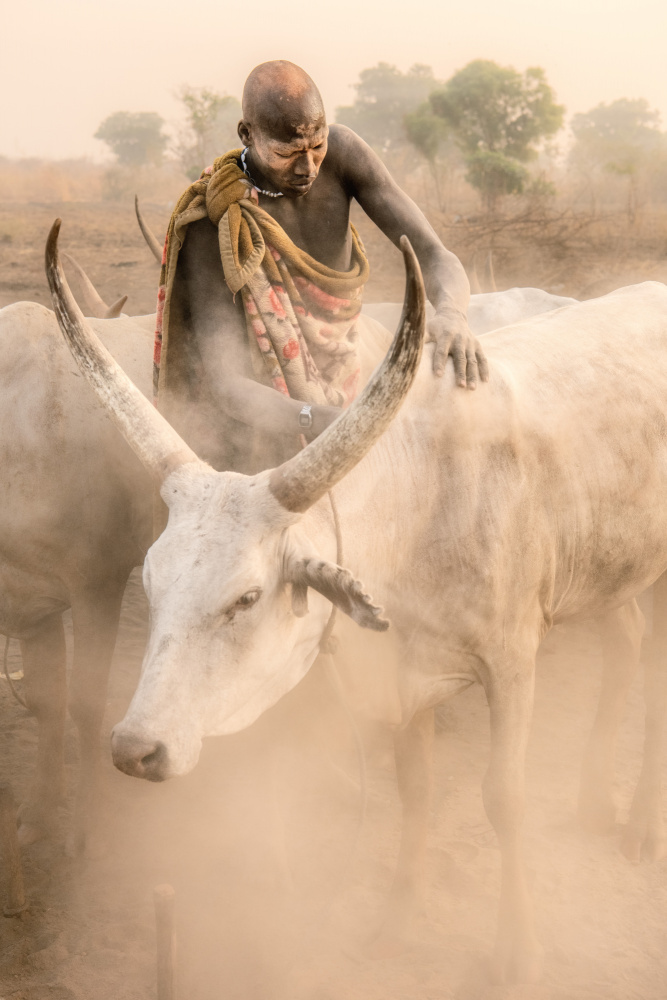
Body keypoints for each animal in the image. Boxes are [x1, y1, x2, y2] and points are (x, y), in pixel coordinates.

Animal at [44, 221, 664, 984]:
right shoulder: (407, 676)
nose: (135, 748)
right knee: (625, 645)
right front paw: (395, 924)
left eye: (247, 597)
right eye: (152, 582)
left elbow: (505, 799)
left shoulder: (513, 660)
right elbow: (415, 791)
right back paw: (594, 800)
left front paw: (518, 954)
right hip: (609, 570)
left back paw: (641, 825)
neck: (422, 498)